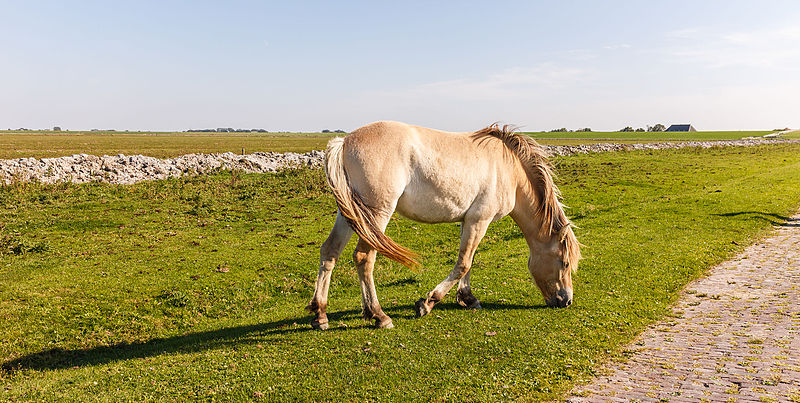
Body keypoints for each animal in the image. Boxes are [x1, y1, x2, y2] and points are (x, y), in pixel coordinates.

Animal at [304, 121, 580, 330]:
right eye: (564, 263)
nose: (566, 301)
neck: (510, 170)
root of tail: (344, 142)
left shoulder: (469, 221)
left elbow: (469, 260)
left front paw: (468, 298)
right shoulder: (480, 220)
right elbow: (463, 263)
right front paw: (428, 302)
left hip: (350, 215)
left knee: (330, 251)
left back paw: (320, 314)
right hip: (377, 214)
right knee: (364, 258)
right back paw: (378, 315)